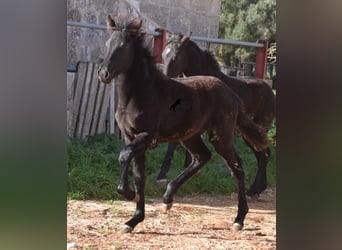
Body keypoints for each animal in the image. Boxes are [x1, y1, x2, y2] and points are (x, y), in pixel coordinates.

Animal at [157, 33, 276, 197]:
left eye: (176, 56)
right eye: (163, 55)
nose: (166, 79)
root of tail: (271, 92)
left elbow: (174, 143)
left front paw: (162, 178)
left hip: (255, 129)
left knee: (263, 154)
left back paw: (253, 191)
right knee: (263, 154)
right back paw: (256, 190)